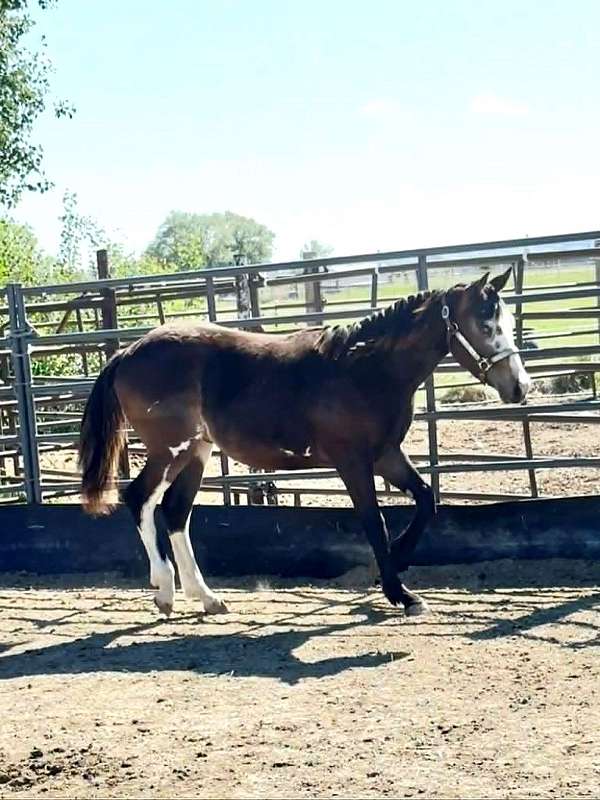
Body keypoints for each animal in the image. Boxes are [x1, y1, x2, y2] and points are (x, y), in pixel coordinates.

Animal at [78, 268, 530, 617]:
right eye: (486, 325)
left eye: (507, 324)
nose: (520, 387)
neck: (364, 369)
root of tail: (127, 352)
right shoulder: (353, 462)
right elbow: (375, 522)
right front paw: (399, 593)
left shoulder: (386, 455)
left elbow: (426, 499)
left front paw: (398, 563)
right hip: (170, 449)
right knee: (140, 499)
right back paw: (165, 592)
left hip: (197, 452)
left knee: (174, 512)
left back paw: (207, 598)